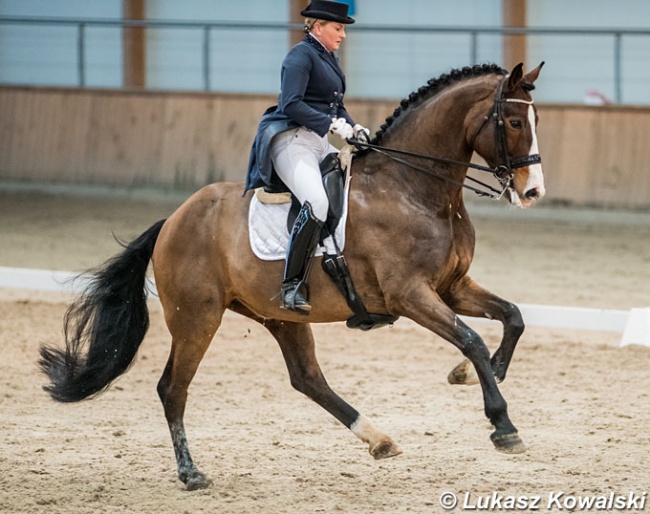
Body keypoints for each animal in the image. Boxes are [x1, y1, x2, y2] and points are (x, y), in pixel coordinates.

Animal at [40, 62, 544, 490]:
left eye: (535, 118)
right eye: (514, 122)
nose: (533, 192)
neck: (412, 188)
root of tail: (173, 220)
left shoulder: (450, 287)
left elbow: (512, 317)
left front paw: (477, 373)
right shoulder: (410, 295)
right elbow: (471, 339)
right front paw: (502, 424)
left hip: (279, 317)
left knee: (307, 379)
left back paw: (379, 439)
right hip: (196, 318)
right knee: (173, 389)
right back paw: (191, 474)